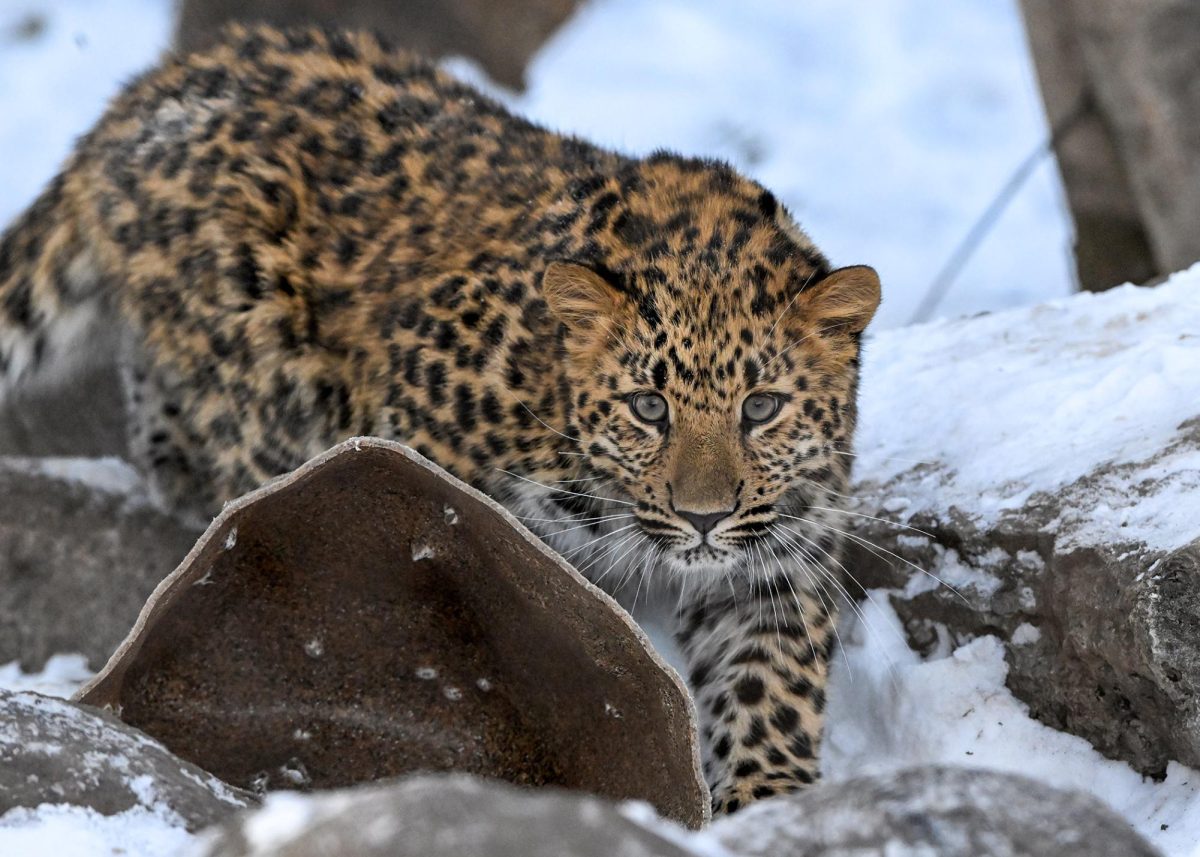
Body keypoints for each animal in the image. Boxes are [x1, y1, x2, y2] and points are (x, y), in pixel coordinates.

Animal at [0, 24, 881, 814]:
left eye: (761, 407)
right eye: (648, 406)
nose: (703, 518)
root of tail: (151, 90)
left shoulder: (782, 547)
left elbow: (772, 676)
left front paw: (768, 796)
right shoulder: (419, 398)